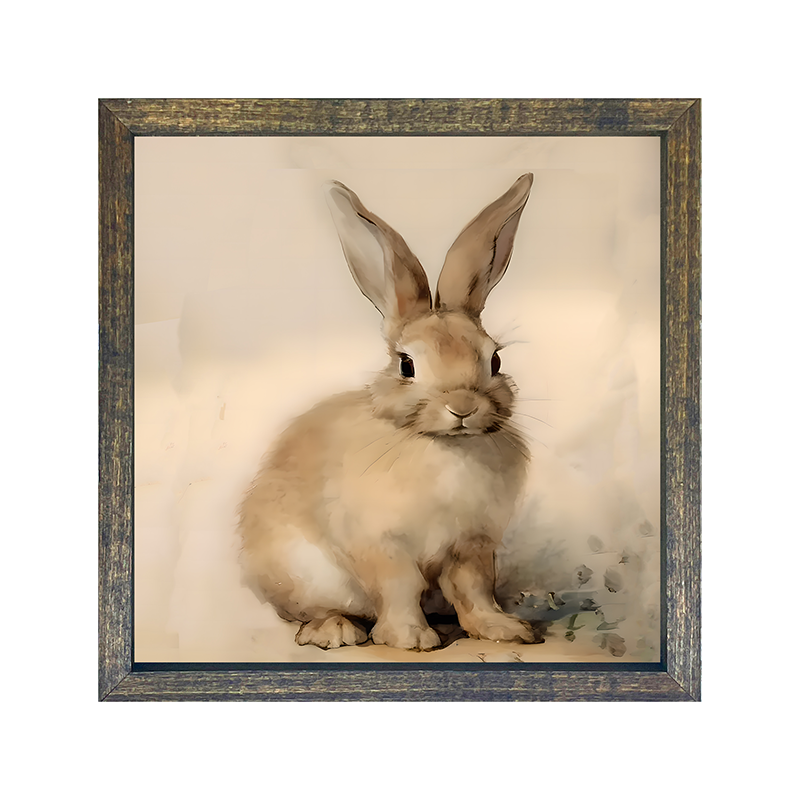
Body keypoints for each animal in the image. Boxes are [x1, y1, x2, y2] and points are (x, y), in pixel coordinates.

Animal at [238, 173, 536, 651]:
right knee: (312, 612)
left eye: (494, 360)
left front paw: (504, 629)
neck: (443, 447)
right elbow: (399, 587)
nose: (463, 407)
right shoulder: (381, 544)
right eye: (406, 365)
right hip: (302, 574)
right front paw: (411, 638)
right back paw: (336, 631)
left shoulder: (471, 544)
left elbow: (474, 589)